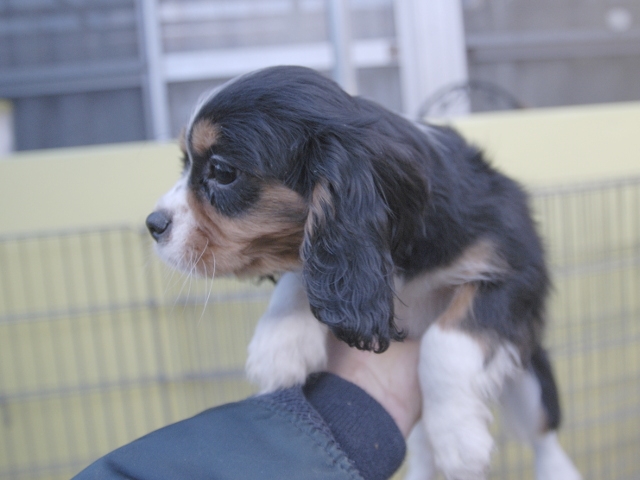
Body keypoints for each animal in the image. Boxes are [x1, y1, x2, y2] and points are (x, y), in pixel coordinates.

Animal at [146, 66, 581, 480]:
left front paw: (458, 439)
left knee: (542, 433)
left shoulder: (516, 267)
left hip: (528, 374)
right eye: (185, 164)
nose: (152, 225)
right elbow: (304, 269)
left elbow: (444, 344)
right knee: (421, 446)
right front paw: (280, 344)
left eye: (222, 171)